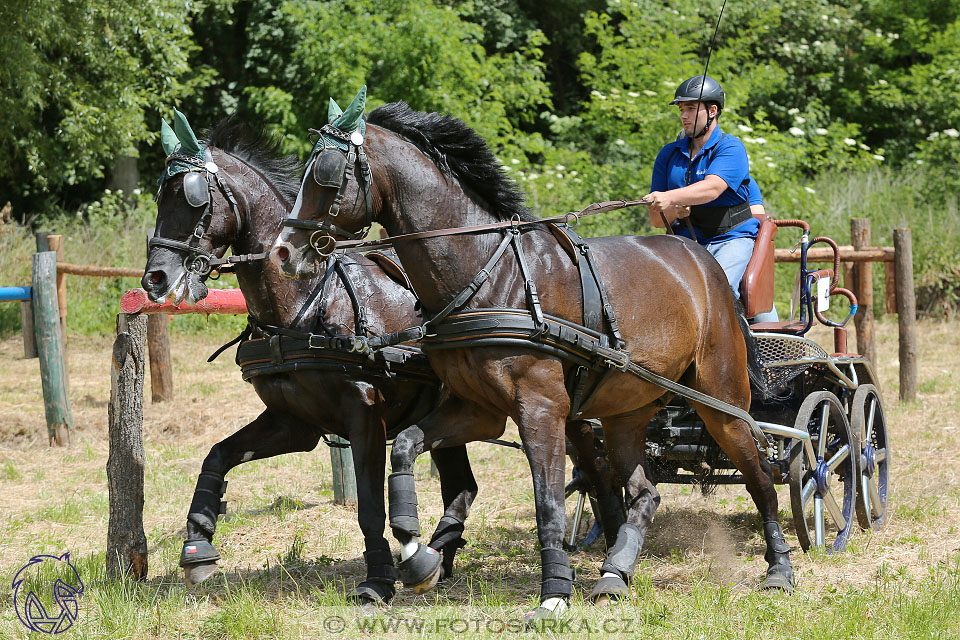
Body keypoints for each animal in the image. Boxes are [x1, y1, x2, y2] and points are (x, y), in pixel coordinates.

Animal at [142, 110, 492, 604]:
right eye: (162, 196)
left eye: (194, 200)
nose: (155, 278)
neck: (305, 303)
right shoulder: (293, 422)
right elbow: (216, 457)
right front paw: (197, 547)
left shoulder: (364, 418)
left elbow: (369, 505)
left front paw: (378, 578)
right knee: (461, 486)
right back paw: (438, 560)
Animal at [270, 92, 796, 624]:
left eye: (326, 176)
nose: (283, 252)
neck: (489, 273)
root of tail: (702, 263)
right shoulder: (477, 410)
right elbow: (405, 447)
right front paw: (418, 556)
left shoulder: (541, 410)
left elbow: (548, 503)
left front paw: (555, 591)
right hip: (627, 411)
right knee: (644, 493)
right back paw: (614, 574)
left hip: (720, 401)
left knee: (760, 475)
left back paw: (779, 569)